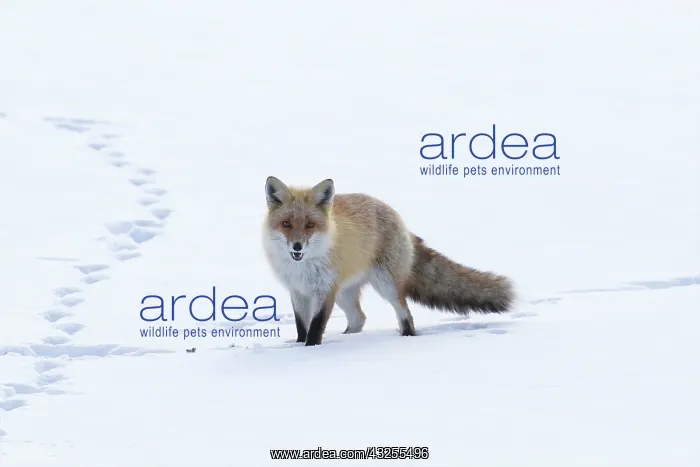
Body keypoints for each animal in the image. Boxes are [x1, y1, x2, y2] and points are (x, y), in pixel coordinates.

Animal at [262, 176, 515, 346]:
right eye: (286, 224)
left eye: (310, 225)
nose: (297, 247)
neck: (301, 268)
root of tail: (394, 213)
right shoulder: (298, 291)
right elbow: (302, 327)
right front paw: (299, 347)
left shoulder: (324, 290)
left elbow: (315, 327)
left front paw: (310, 350)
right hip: (344, 293)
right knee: (360, 318)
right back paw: (348, 339)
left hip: (386, 285)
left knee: (405, 314)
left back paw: (406, 339)